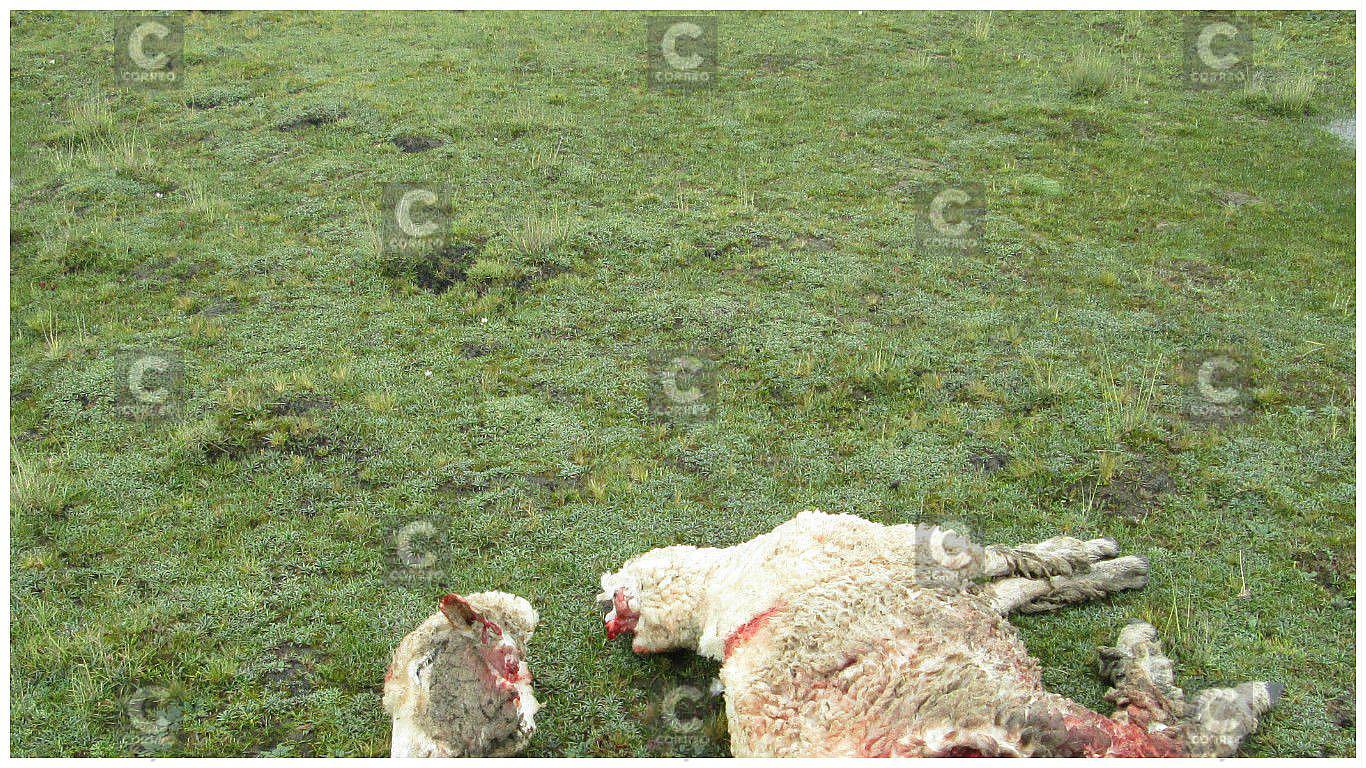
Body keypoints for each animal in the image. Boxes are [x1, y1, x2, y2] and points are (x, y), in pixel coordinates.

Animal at [599, 510, 1279, 757]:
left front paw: (1092, 563)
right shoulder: (922, 569)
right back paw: (1159, 661)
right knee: (1164, 734)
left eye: (627, 602)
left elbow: (1014, 576)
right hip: (1001, 704)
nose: (609, 618)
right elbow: (1014, 570)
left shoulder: (926, 573)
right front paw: (1099, 564)